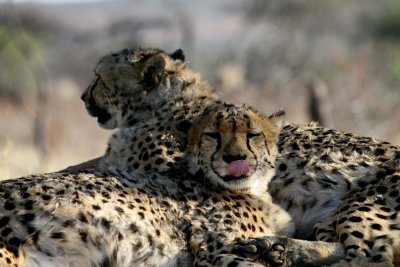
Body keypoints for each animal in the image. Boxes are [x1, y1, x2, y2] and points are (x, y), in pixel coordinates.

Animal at [78, 47, 400, 266]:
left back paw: (276, 248)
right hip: (330, 220)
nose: (83, 97)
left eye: (98, 78)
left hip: (360, 207)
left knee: (369, 257)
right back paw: (275, 248)